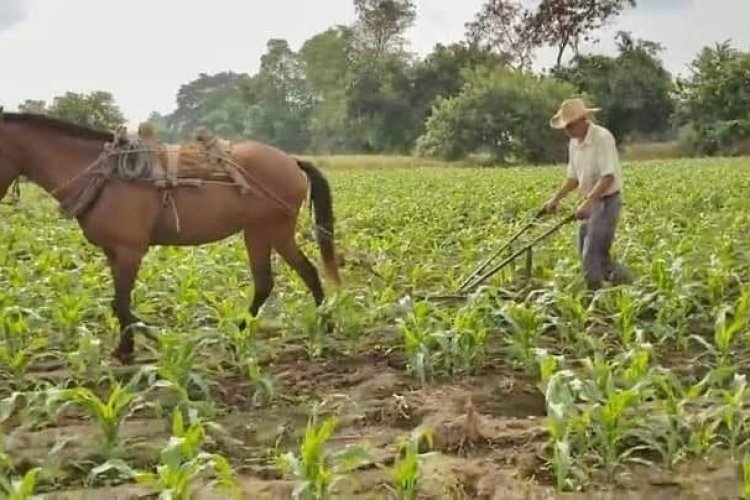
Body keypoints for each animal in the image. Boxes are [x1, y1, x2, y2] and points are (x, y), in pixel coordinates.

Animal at [0, 107, 342, 364]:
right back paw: (322, 323)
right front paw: (128, 347)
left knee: (271, 282)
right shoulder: (113, 252)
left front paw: (150, 340)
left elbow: (120, 303)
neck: (105, 176)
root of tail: (290, 160)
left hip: (265, 230)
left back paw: (250, 335)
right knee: (304, 273)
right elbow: (118, 303)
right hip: (270, 233)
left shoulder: (130, 250)